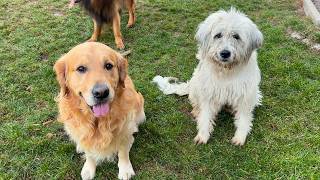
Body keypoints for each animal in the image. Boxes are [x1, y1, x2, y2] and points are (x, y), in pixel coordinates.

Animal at [54, 41, 145, 179]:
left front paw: (125, 169)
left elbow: (123, 151)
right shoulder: (84, 133)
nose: (101, 93)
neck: (98, 121)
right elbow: (89, 152)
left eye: (108, 66)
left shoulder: (124, 129)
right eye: (81, 68)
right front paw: (89, 168)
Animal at [152, 8, 262, 146]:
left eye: (236, 36)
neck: (226, 71)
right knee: (195, 102)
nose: (225, 53)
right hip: (196, 86)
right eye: (218, 35)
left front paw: (240, 137)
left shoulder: (245, 96)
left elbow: (243, 118)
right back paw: (196, 111)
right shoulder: (208, 93)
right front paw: (203, 135)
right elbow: (205, 116)